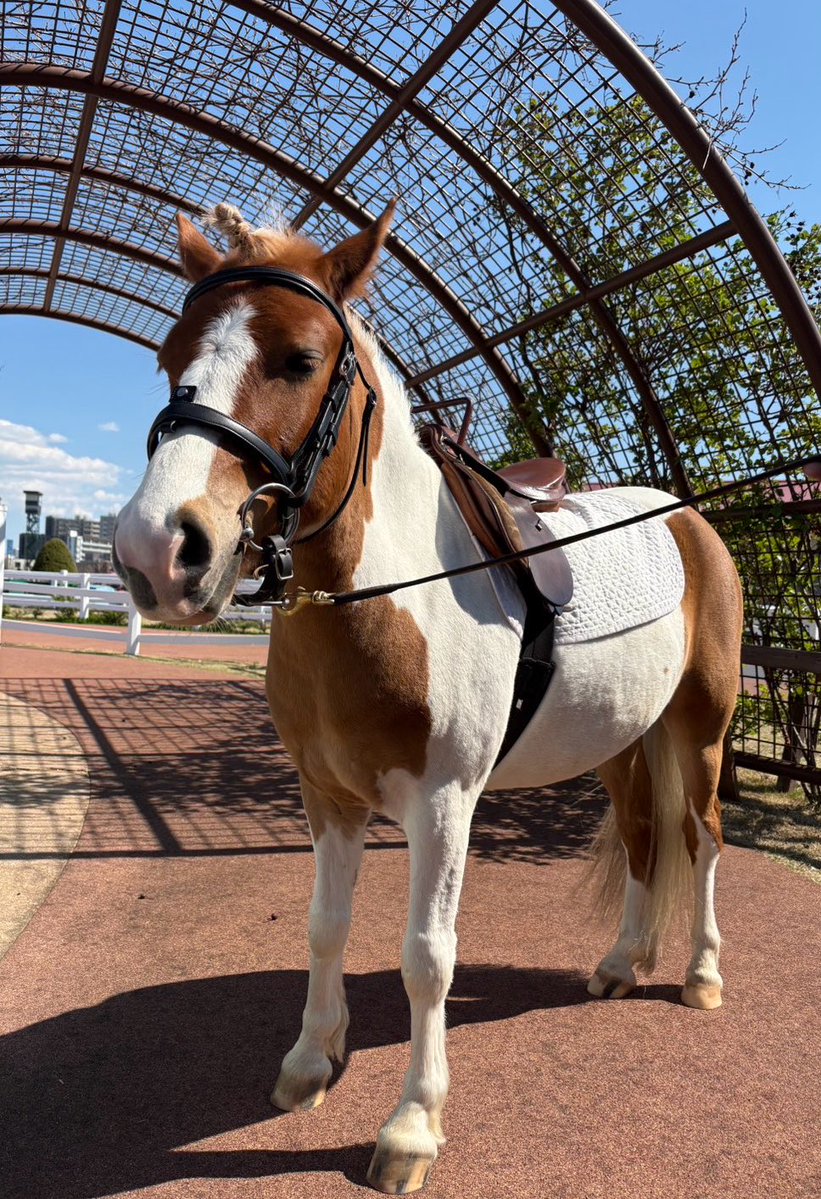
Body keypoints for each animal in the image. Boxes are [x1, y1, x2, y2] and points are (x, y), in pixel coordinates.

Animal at [113, 200, 743, 1195]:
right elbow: (324, 926)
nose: (156, 549)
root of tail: (687, 517)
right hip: (618, 743)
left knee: (701, 836)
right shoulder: (327, 795)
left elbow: (425, 958)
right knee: (645, 837)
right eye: (171, 356)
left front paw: (411, 1125)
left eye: (299, 359)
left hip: (700, 728)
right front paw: (309, 1063)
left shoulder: (444, 804)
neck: (388, 590)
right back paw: (619, 962)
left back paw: (700, 974)